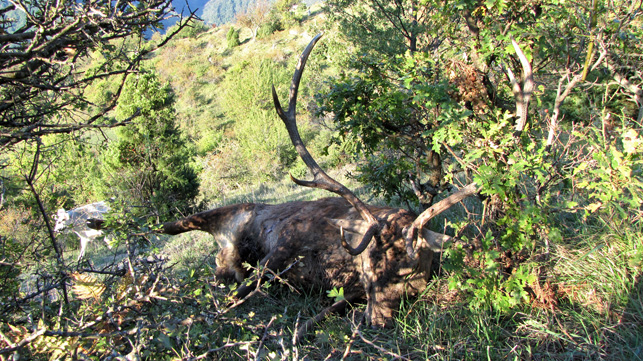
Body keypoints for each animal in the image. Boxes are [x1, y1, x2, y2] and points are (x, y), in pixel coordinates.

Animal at [159, 33, 480, 340]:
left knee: (222, 270)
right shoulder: (285, 241)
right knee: (173, 227)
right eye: (369, 267)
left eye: (411, 274)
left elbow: (319, 315)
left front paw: (299, 332)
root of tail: (220, 242)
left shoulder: (348, 290)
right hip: (225, 211)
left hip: (224, 255)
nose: (377, 321)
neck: (338, 255)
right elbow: (240, 293)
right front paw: (198, 318)